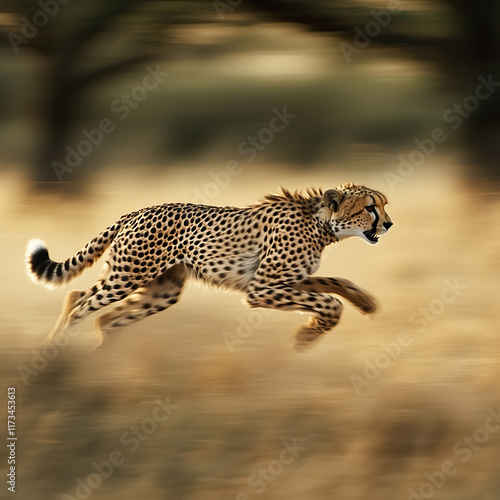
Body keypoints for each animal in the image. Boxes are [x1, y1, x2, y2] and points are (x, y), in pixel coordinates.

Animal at [26, 184, 394, 352]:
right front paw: (305, 336)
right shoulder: (260, 288)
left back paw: (97, 356)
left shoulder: (286, 281)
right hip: (128, 275)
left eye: (383, 205)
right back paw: (60, 355)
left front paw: (365, 302)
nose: (389, 224)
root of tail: (135, 211)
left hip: (159, 288)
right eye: (370, 207)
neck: (320, 222)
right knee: (83, 306)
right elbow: (328, 302)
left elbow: (334, 281)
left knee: (91, 307)